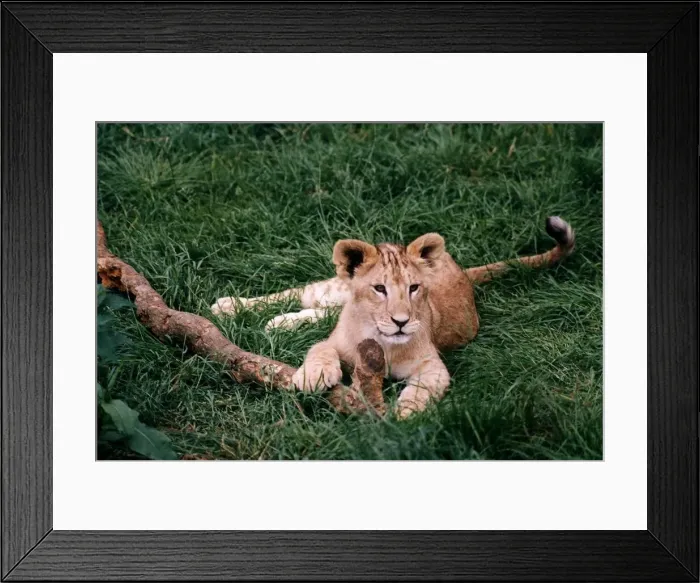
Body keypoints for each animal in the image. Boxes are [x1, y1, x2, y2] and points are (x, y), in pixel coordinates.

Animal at [212, 216, 575, 418]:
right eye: (379, 289)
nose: (400, 321)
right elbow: (320, 348)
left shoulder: (433, 365)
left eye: (414, 288)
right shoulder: (334, 341)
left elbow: (424, 387)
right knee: (301, 293)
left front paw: (406, 412)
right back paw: (230, 306)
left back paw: (278, 322)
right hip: (334, 288)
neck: (380, 340)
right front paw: (314, 376)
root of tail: (459, 269)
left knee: (322, 309)